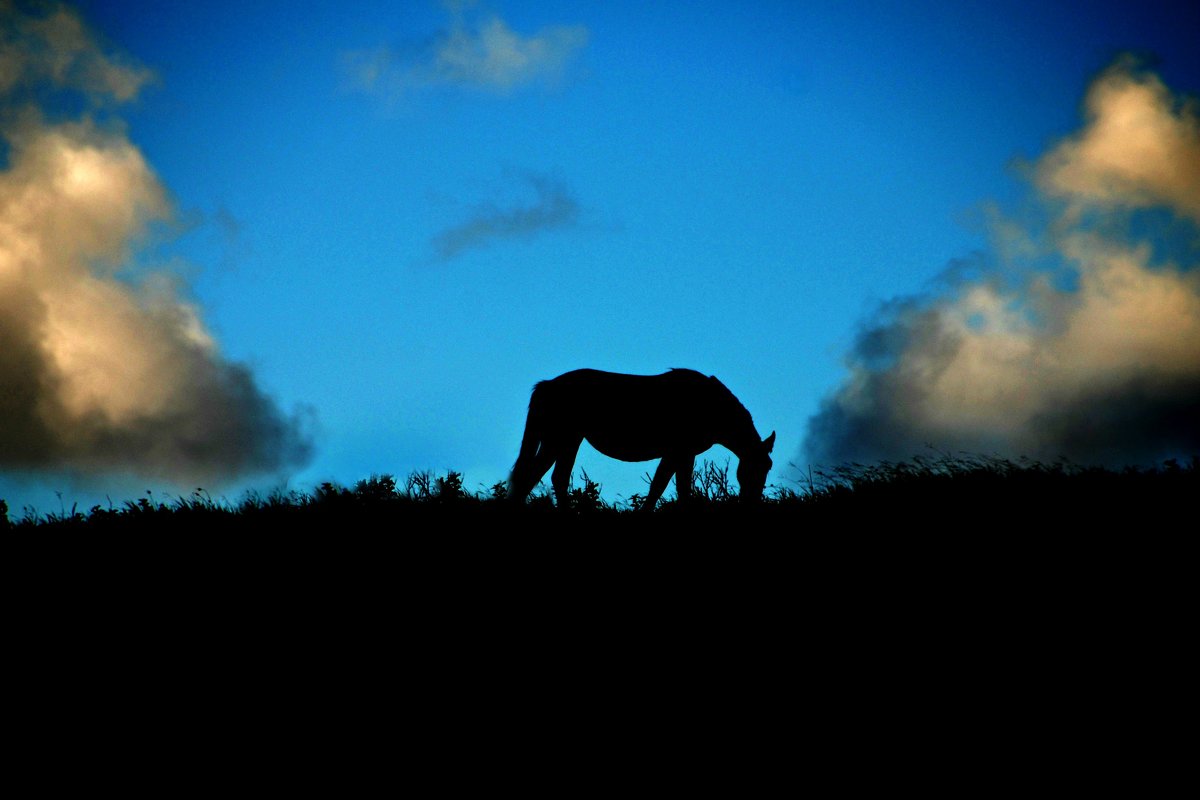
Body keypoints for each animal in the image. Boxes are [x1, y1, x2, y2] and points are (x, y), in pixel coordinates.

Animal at [508, 371, 777, 513]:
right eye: (756, 467)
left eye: (768, 468)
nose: (752, 502)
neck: (712, 407)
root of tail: (546, 386)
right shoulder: (677, 451)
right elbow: (665, 485)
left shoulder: (682, 454)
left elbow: (672, 486)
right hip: (559, 439)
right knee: (534, 476)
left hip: (568, 441)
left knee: (554, 477)